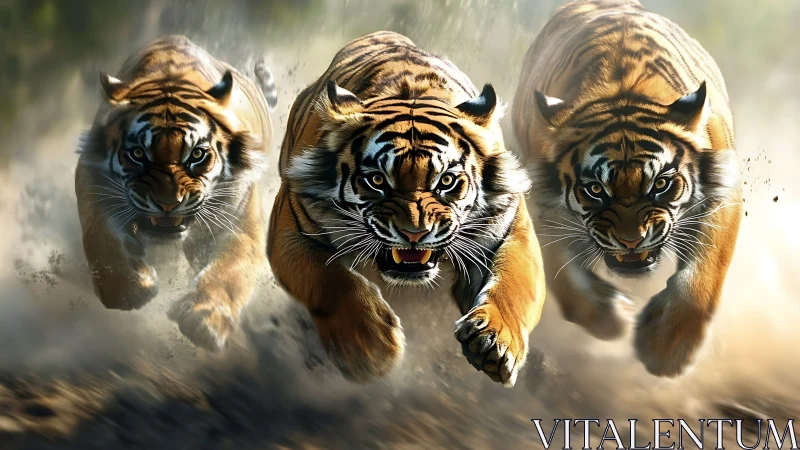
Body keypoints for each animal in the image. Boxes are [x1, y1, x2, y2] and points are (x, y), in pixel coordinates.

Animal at [75, 35, 278, 351]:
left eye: (196, 154)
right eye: (138, 154)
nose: (168, 204)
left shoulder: (240, 222)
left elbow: (230, 270)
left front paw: (205, 319)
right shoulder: (93, 180)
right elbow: (102, 238)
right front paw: (130, 289)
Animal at [268, 31, 546, 386]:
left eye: (446, 181)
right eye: (377, 180)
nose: (415, 234)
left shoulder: (511, 232)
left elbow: (514, 285)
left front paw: (494, 342)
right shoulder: (292, 232)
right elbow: (329, 280)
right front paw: (370, 348)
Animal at [512, 0, 742, 377]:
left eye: (660, 184)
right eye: (595, 190)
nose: (632, 241)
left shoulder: (722, 195)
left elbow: (705, 276)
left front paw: (667, 350)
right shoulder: (542, 206)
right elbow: (564, 278)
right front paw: (613, 317)